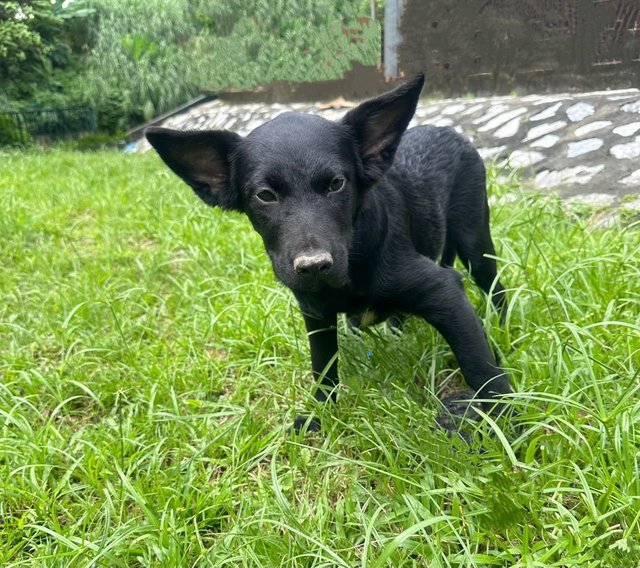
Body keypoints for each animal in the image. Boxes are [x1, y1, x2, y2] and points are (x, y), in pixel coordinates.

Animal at [145, 74, 510, 430]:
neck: (354, 258)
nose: (313, 266)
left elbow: (482, 370)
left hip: (475, 240)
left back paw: (502, 329)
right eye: (265, 195)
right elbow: (322, 367)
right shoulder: (315, 313)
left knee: (496, 288)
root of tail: (449, 129)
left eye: (336, 184)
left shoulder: (444, 292)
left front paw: (508, 423)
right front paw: (321, 414)